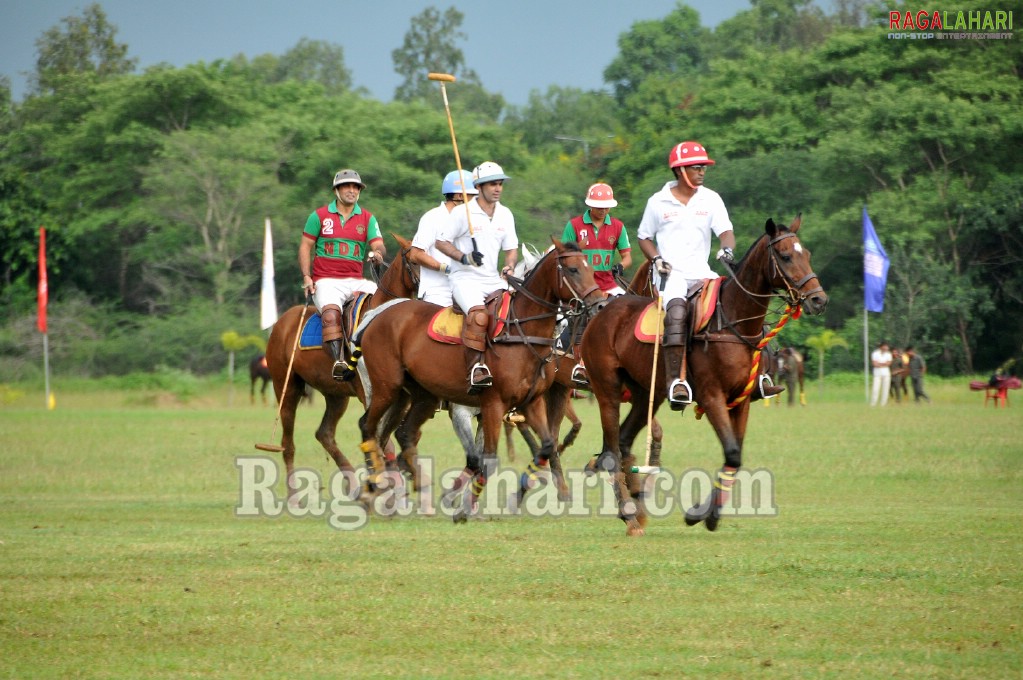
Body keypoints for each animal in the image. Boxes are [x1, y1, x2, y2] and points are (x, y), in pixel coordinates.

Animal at [268, 233, 423, 499]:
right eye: (413, 261)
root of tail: (281, 323)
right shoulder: (369, 393)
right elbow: (379, 434)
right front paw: (390, 484)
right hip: (286, 387)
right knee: (288, 443)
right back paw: (294, 496)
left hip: (336, 394)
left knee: (324, 433)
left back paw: (353, 484)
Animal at [356, 238, 601, 519]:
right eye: (573, 269)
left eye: (590, 268)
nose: (599, 304)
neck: (519, 332)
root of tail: (375, 316)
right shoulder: (481, 407)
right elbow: (483, 458)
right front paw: (461, 504)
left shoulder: (525, 403)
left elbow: (544, 445)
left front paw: (499, 500)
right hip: (383, 388)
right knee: (370, 428)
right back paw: (376, 489)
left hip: (415, 396)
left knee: (397, 435)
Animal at [581, 215, 826, 535]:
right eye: (785, 256)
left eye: (806, 254)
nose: (819, 300)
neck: (733, 321)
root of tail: (600, 314)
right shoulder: (712, 397)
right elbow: (732, 451)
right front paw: (698, 514)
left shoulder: (741, 401)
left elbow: (734, 456)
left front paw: (709, 514)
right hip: (607, 389)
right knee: (610, 451)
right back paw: (629, 515)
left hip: (646, 394)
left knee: (622, 441)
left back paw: (635, 505)